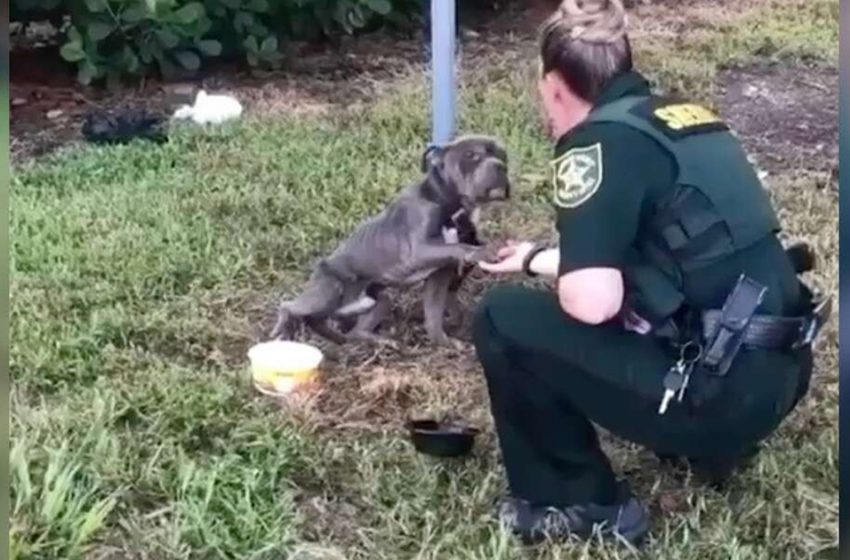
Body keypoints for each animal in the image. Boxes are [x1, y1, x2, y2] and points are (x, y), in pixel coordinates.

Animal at [270, 136, 510, 346]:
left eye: (502, 155)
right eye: (471, 155)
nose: (501, 166)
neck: (448, 204)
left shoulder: (439, 276)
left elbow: (434, 314)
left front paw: (444, 341)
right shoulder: (419, 250)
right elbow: (459, 246)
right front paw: (483, 251)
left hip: (377, 301)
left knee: (345, 328)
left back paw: (368, 341)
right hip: (329, 290)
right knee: (290, 306)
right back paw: (284, 328)